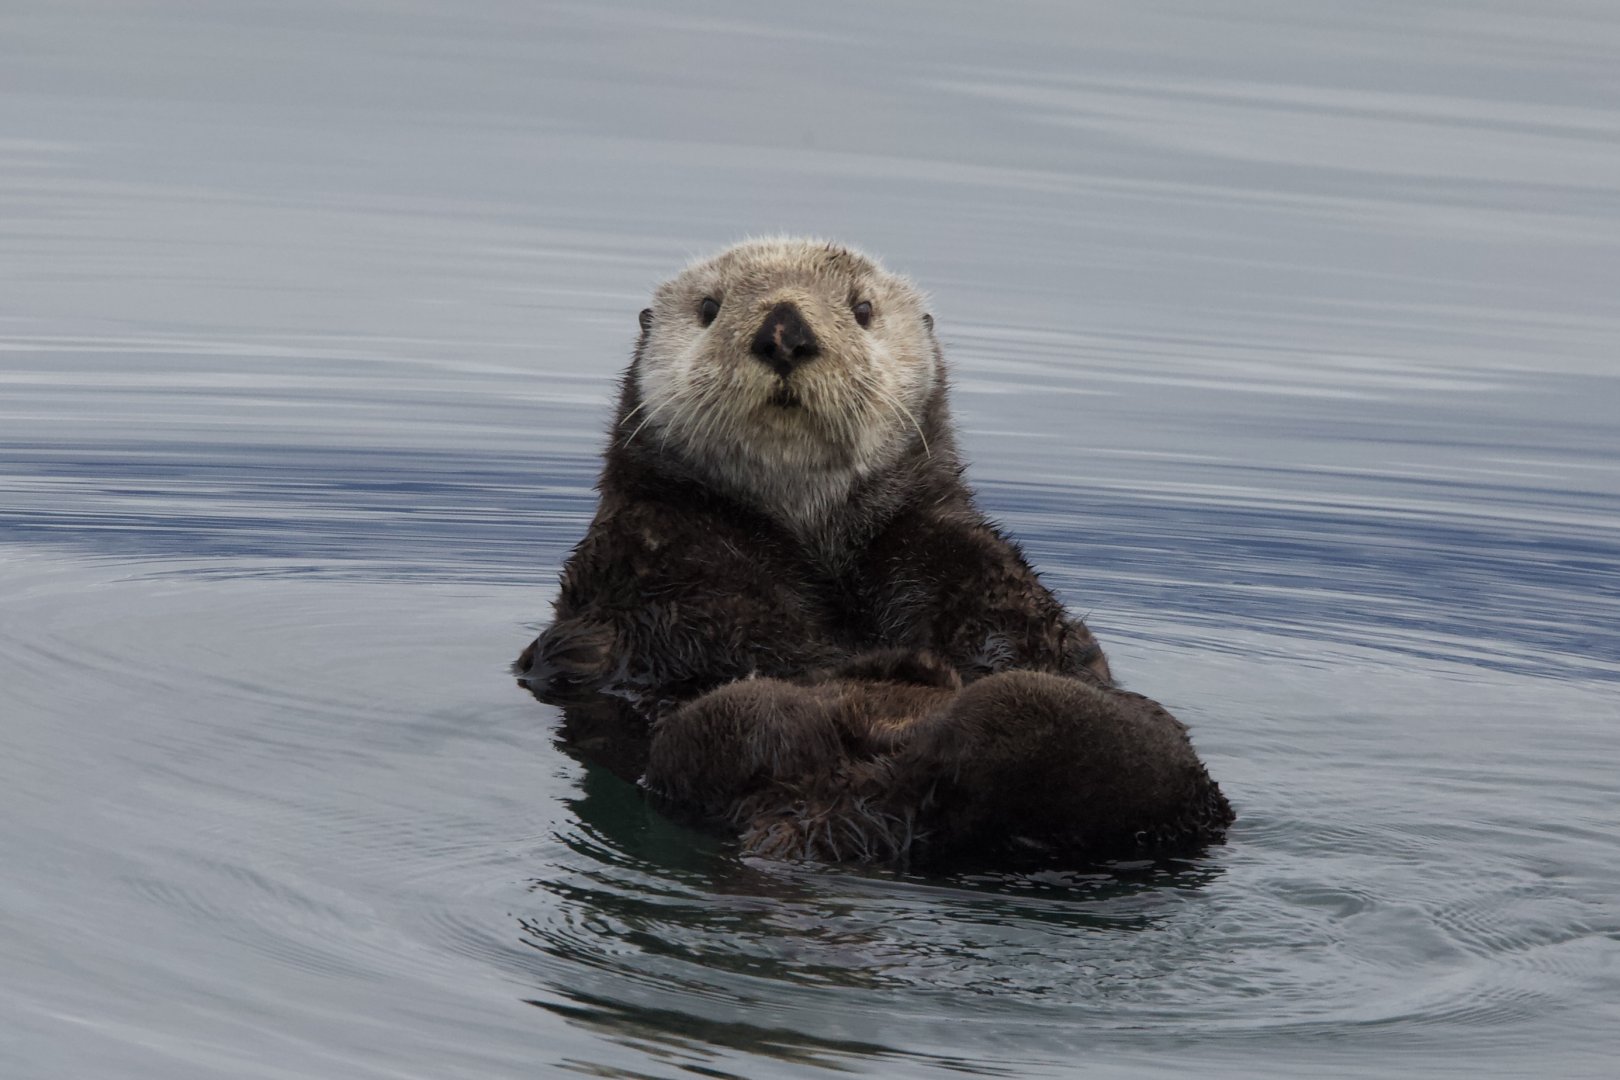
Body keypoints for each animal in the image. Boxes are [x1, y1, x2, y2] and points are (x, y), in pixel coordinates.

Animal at [514, 237, 1231, 864]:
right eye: (709, 307)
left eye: (862, 308)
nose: (783, 330)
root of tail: (880, 819)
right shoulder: (653, 563)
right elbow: (735, 640)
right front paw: (888, 664)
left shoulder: (947, 546)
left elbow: (1029, 632)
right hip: (721, 740)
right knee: (738, 723)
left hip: (1142, 763)